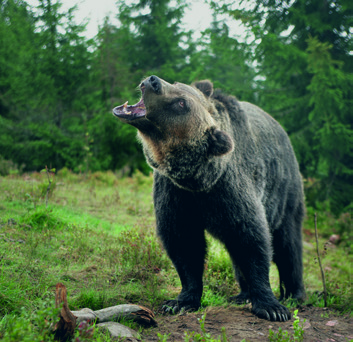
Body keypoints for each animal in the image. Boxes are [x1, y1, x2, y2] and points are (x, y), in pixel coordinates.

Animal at [113, 75, 306, 320]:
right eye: (176, 84)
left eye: (181, 103)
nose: (153, 80)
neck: (198, 181)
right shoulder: (175, 193)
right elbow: (183, 243)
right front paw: (180, 301)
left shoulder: (229, 189)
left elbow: (252, 239)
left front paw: (272, 307)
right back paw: (242, 294)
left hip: (285, 191)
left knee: (288, 243)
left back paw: (294, 294)